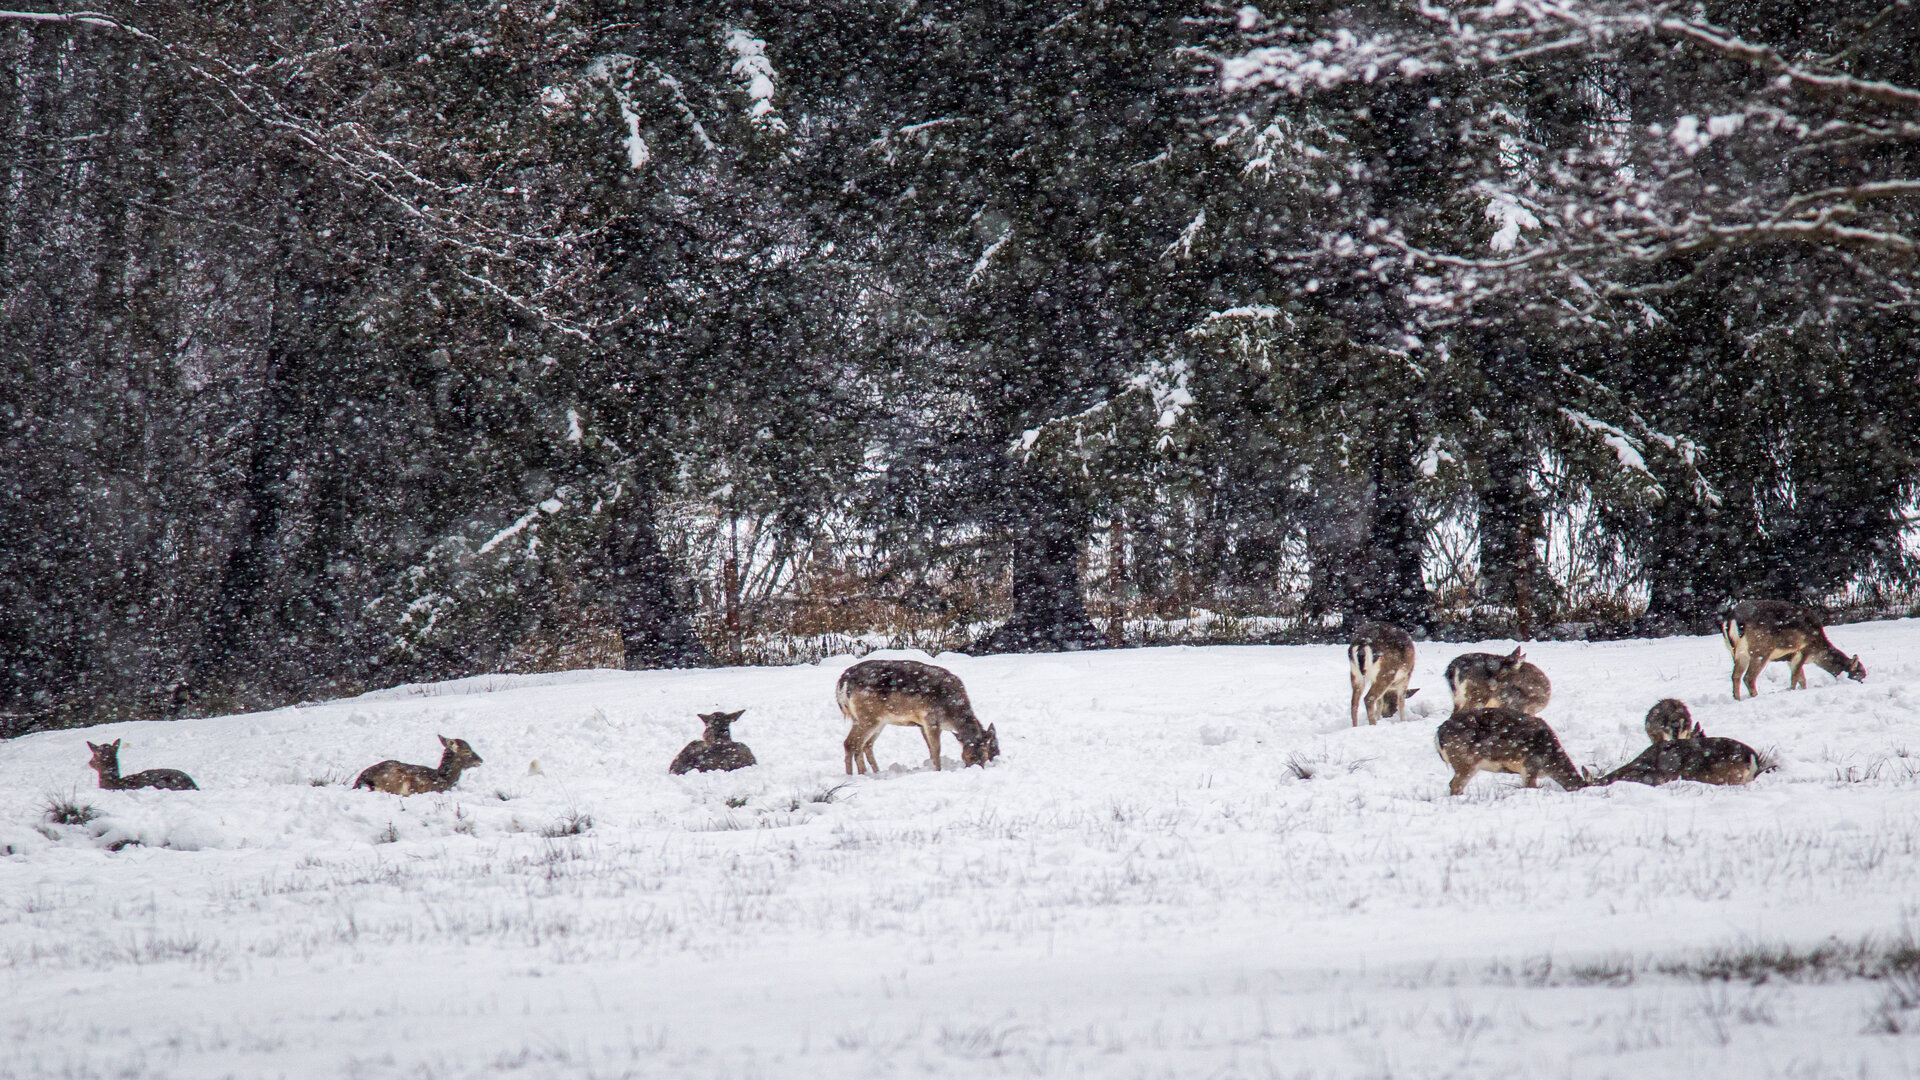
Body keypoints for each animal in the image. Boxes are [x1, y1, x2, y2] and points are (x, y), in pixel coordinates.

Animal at [837, 657, 1006, 772]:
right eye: (967, 756)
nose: (976, 768)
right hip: (868, 716)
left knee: (866, 745)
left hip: (878, 720)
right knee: (851, 744)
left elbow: (930, 749)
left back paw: (875, 772)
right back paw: (859, 775)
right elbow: (936, 749)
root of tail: (843, 681)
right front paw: (938, 770)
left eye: (985, 756)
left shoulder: (921, 725)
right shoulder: (931, 719)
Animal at [1720, 595, 1866, 699]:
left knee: (1735, 676)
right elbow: (1795, 677)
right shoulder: (1802, 650)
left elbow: (1802, 679)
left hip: (1737, 653)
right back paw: (1755, 696)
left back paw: (1737, 698)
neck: (1817, 651)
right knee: (1748, 678)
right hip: (1760, 650)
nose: (1862, 683)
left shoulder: (1790, 657)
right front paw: (1792, 691)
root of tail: (1731, 620)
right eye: (1859, 674)